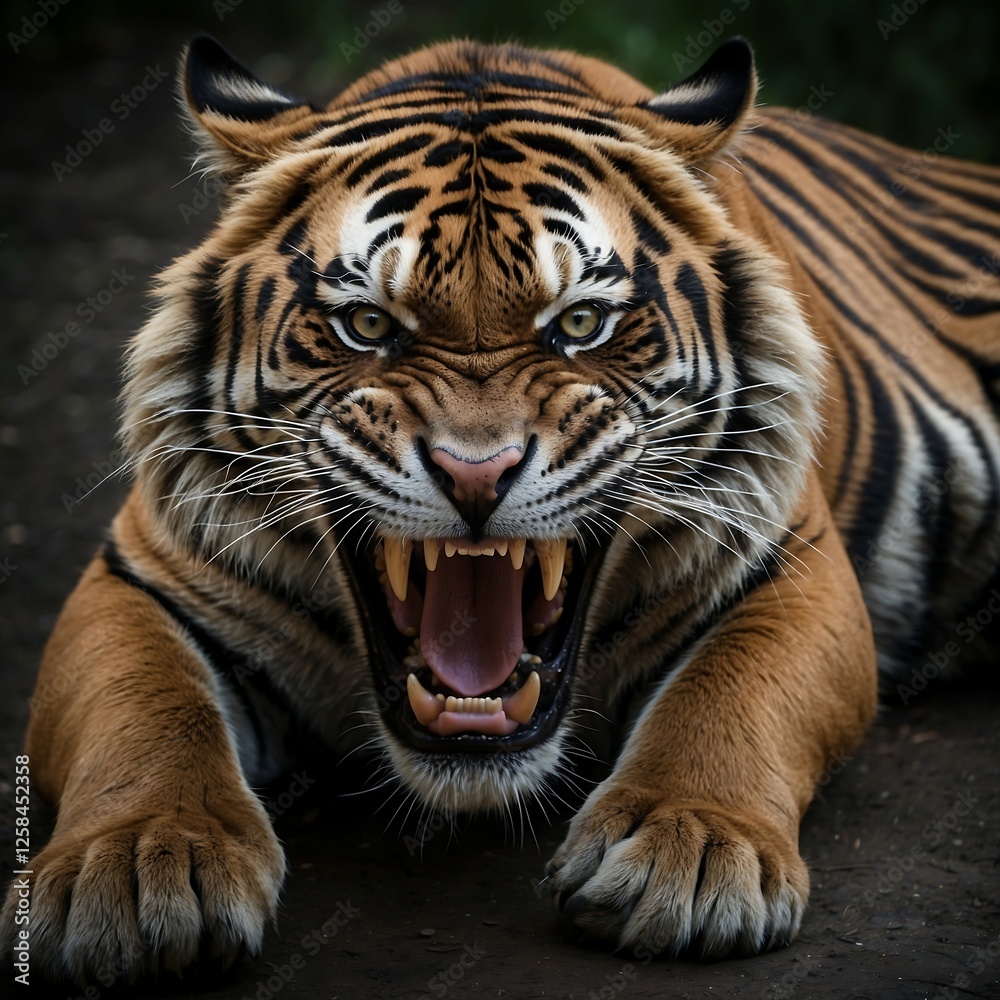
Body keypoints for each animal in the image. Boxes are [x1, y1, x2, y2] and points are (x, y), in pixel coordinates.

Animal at [4, 31, 1000, 983]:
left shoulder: (793, 560)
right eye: (367, 325)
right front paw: (135, 870)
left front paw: (686, 851)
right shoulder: (139, 577)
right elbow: (146, 713)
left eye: (580, 324)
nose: (475, 475)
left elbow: (729, 695)